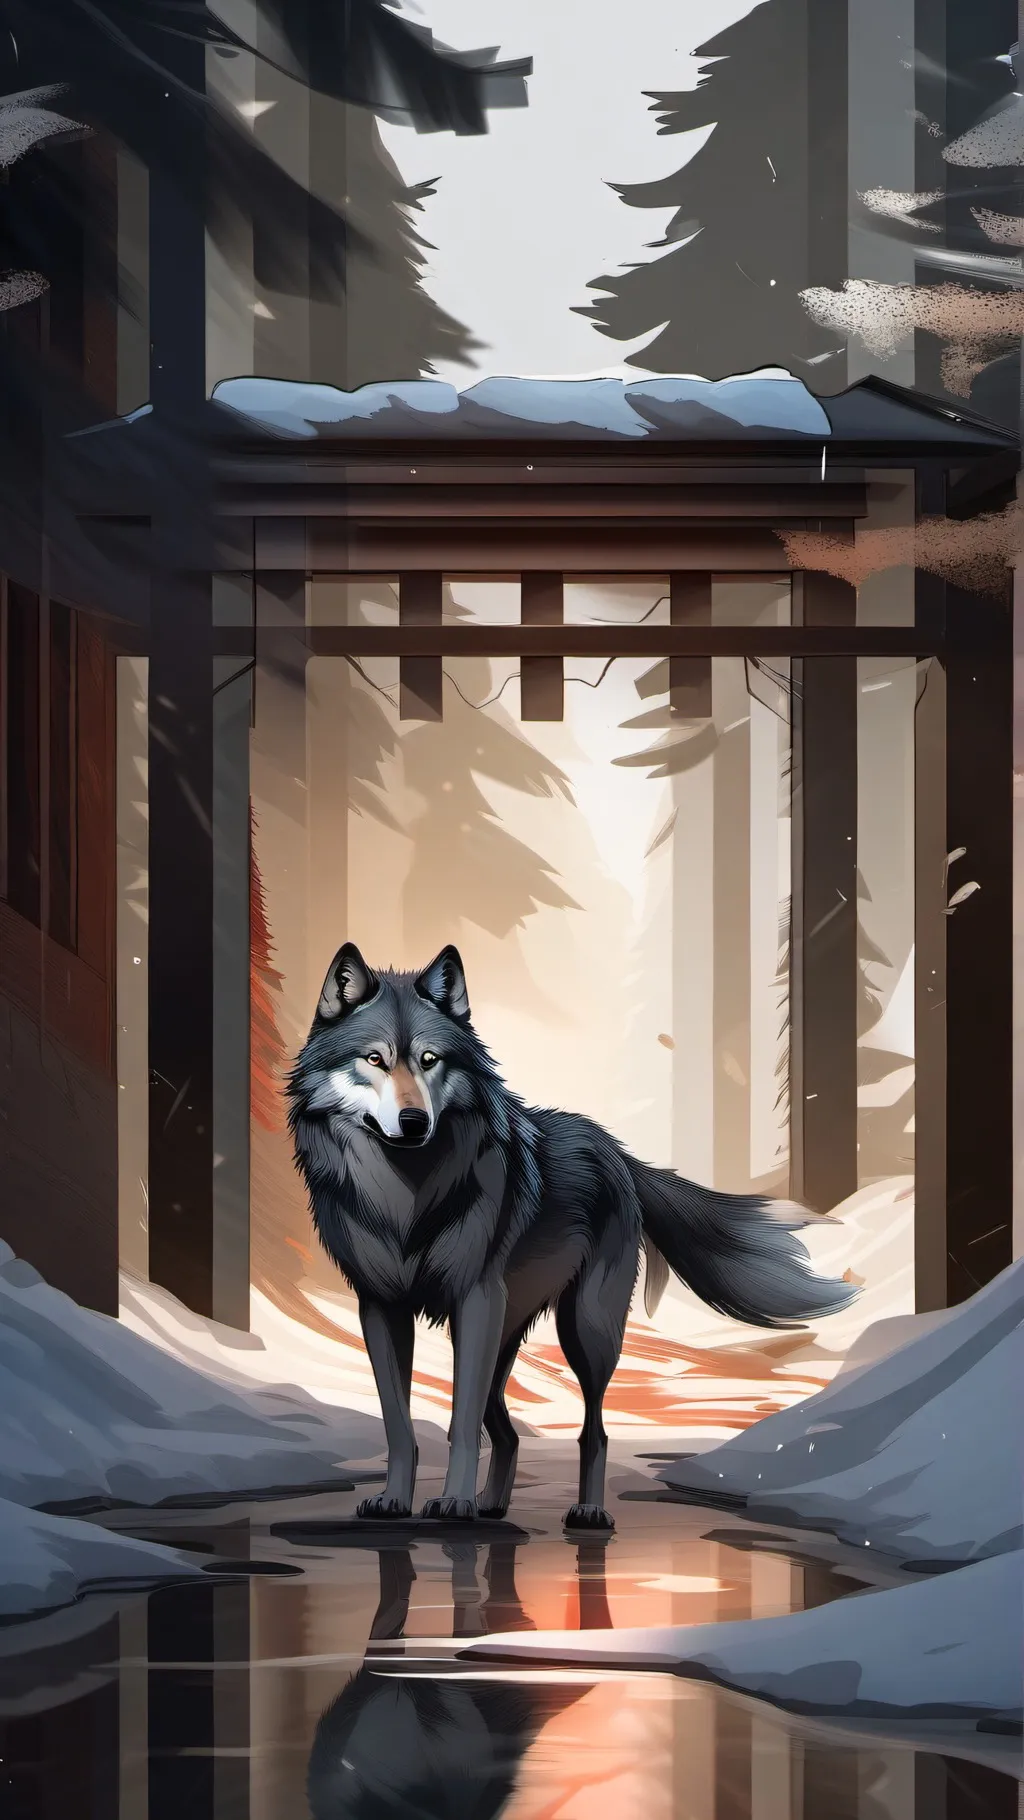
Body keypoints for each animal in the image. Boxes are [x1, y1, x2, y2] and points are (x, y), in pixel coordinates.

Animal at [289, 942, 857, 1531]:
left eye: (429, 1060)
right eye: (374, 1059)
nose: (413, 1120)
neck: (403, 1198)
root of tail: (619, 1152)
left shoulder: (474, 1301)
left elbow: (461, 1423)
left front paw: (454, 1503)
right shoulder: (380, 1308)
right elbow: (398, 1423)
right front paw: (395, 1502)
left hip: (583, 1331)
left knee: (593, 1431)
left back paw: (586, 1510)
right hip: (506, 1337)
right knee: (508, 1431)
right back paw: (493, 1505)